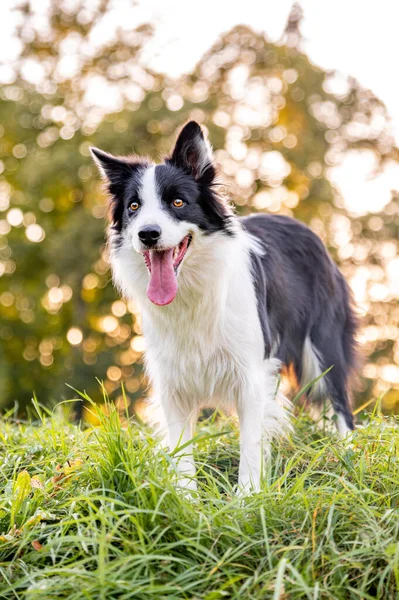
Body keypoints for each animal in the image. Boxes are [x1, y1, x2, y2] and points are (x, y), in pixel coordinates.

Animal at [91, 120, 360, 492]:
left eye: (178, 202)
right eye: (134, 207)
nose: (147, 234)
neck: (191, 290)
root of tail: (308, 231)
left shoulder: (251, 372)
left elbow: (250, 440)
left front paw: (248, 495)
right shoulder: (173, 378)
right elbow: (181, 447)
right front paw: (185, 497)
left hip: (324, 343)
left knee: (339, 400)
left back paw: (346, 452)